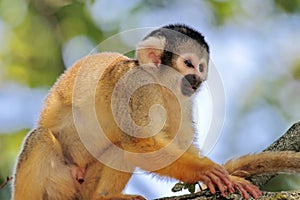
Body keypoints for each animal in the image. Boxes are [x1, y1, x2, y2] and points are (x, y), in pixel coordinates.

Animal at [12, 24, 300, 199]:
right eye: (188, 64)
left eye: (202, 67)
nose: (197, 79)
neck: (160, 82)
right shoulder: (136, 86)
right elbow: (140, 141)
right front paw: (204, 171)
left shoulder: (180, 100)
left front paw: (222, 174)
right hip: (61, 181)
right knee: (40, 138)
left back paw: (102, 197)